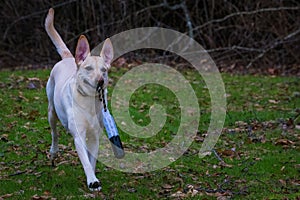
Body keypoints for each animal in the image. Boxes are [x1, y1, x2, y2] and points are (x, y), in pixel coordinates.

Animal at [43, 8, 111, 191]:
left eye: (104, 70)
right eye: (88, 68)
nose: (100, 81)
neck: (88, 102)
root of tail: (68, 57)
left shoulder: (94, 136)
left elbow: (91, 160)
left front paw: (92, 178)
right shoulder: (79, 135)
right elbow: (85, 161)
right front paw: (92, 180)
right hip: (51, 112)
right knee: (54, 133)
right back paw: (54, 151)